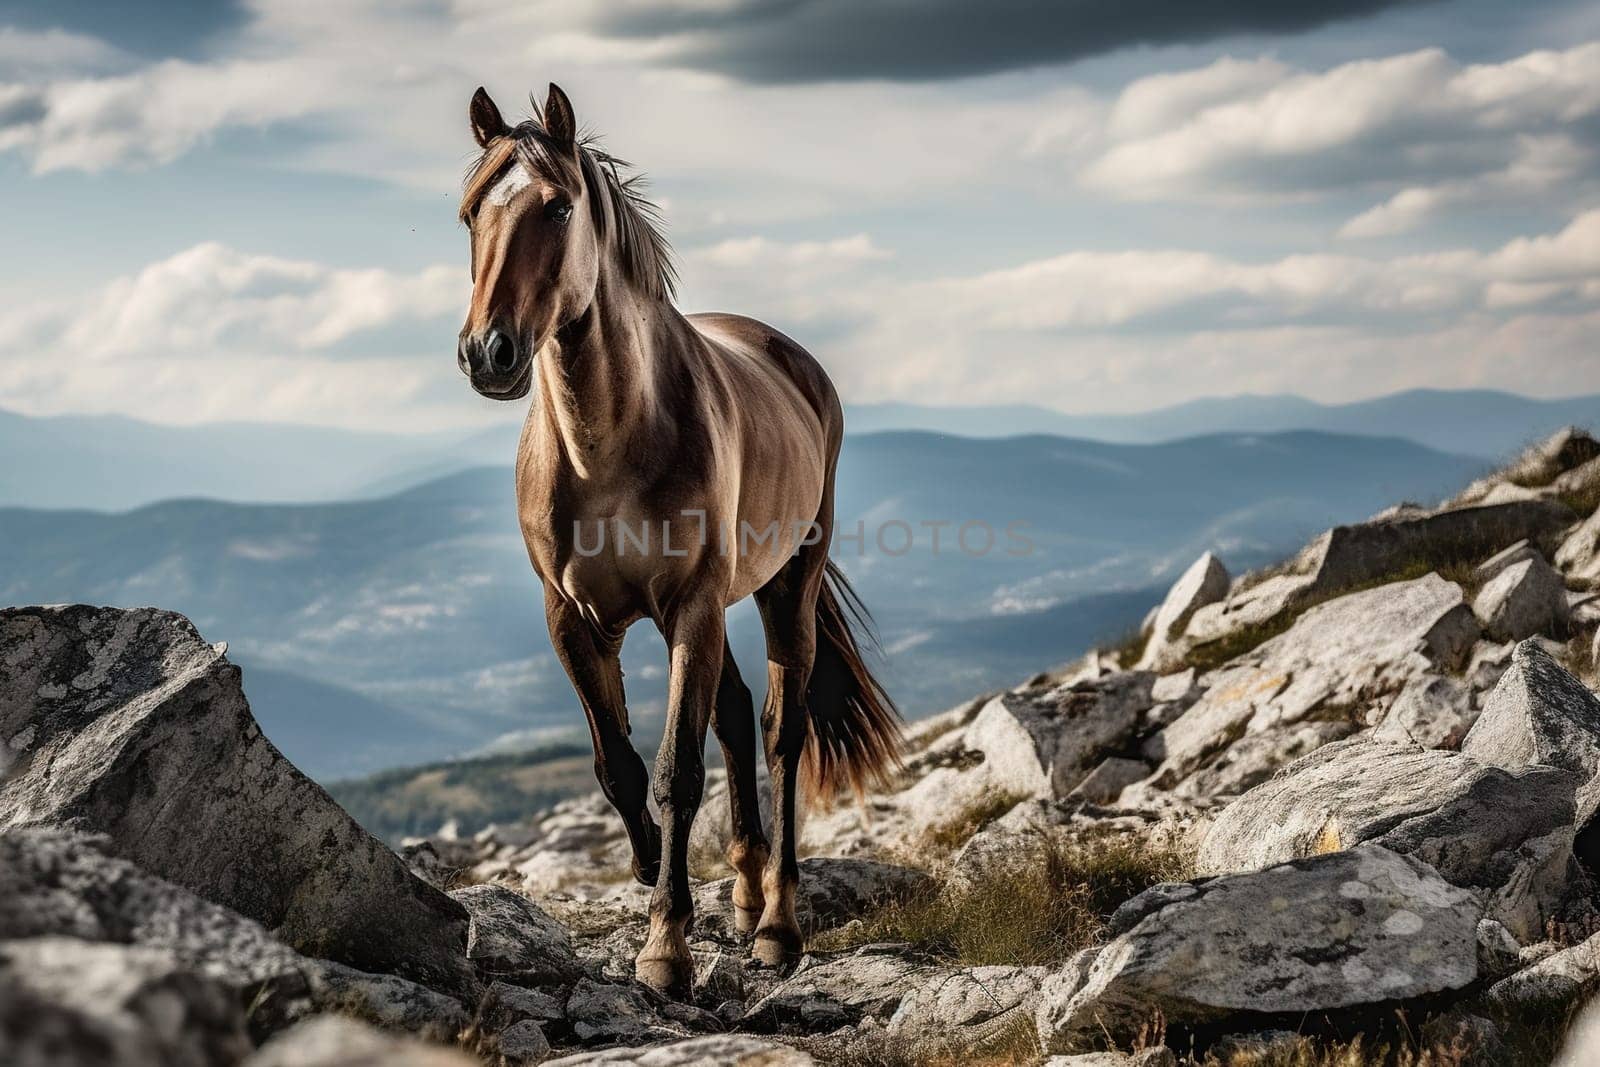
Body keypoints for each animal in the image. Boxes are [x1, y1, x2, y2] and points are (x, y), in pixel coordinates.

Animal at [457, 85, 902, 1004]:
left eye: (558, 207)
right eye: (471, 212)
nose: (489, 352)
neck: (607, 444)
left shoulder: (691, 608)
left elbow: (675, 772)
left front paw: (665, 944)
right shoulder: (572, 619)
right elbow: (619, 766)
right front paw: (646, 874)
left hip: (783, 586)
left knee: (779, 730)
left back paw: (776, 924)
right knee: (733, 714)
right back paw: (743, 889)